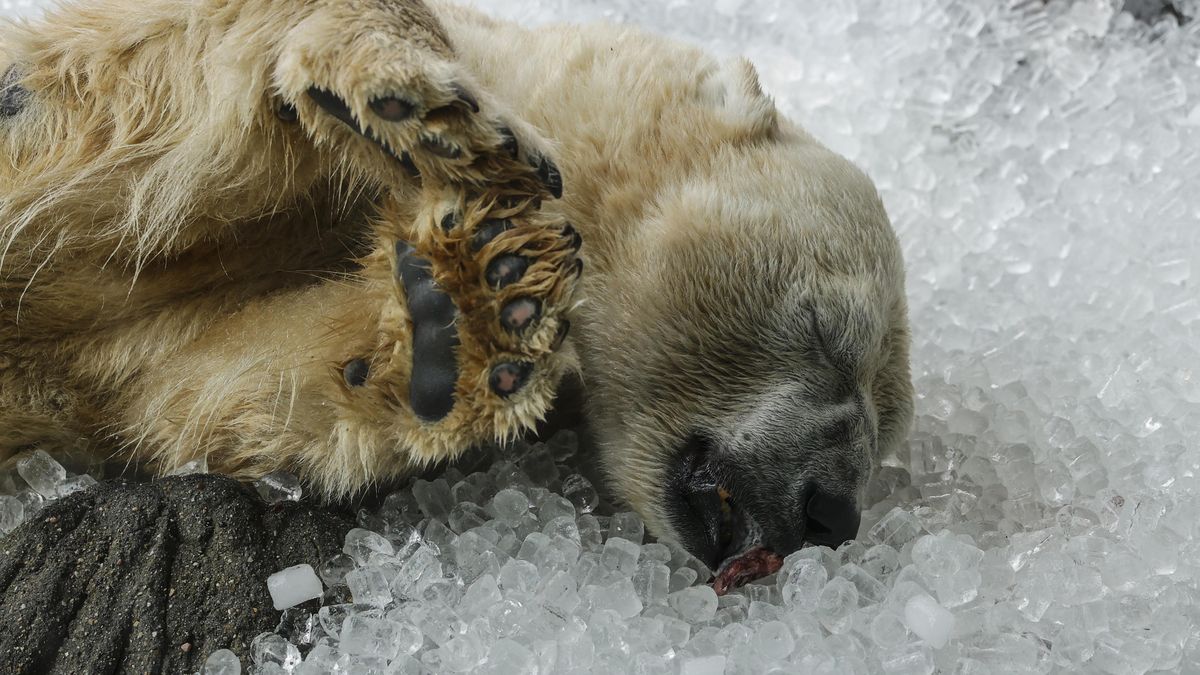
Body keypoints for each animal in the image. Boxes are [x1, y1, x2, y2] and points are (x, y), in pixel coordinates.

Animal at [0, 0, 907, 588]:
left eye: (887, 428)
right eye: (828, 327)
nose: (831, 512)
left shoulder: (132, 344)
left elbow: (204, 382)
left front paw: (461, 319)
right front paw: (410, 98)